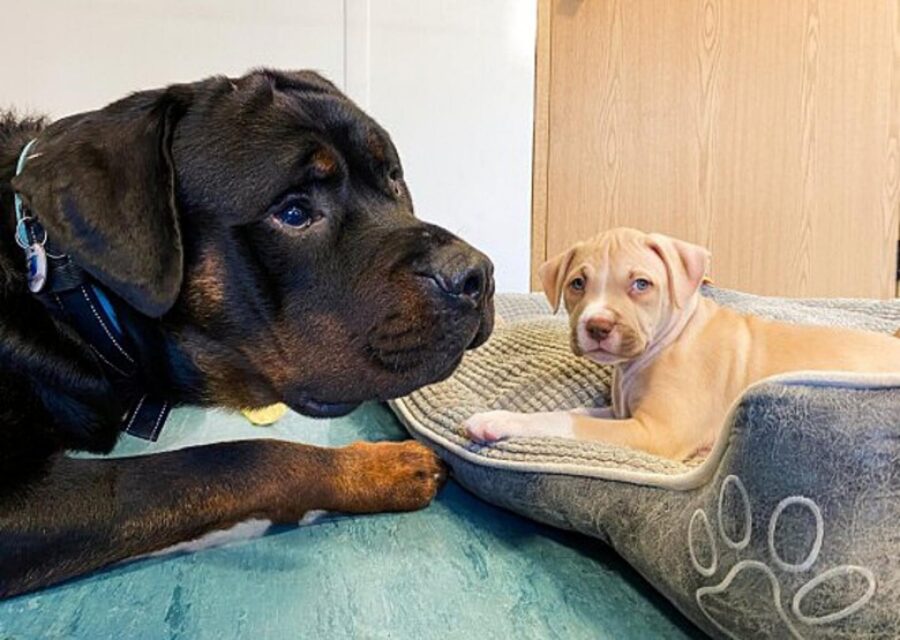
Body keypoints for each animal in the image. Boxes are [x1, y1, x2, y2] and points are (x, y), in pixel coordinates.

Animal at [464, 228, 900, 458]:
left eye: (641, 284)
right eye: (577, 284)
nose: (598, 325)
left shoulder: (655, 432)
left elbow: (569, 421)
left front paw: (497, 422)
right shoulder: (624, 415)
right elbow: (573, 411)